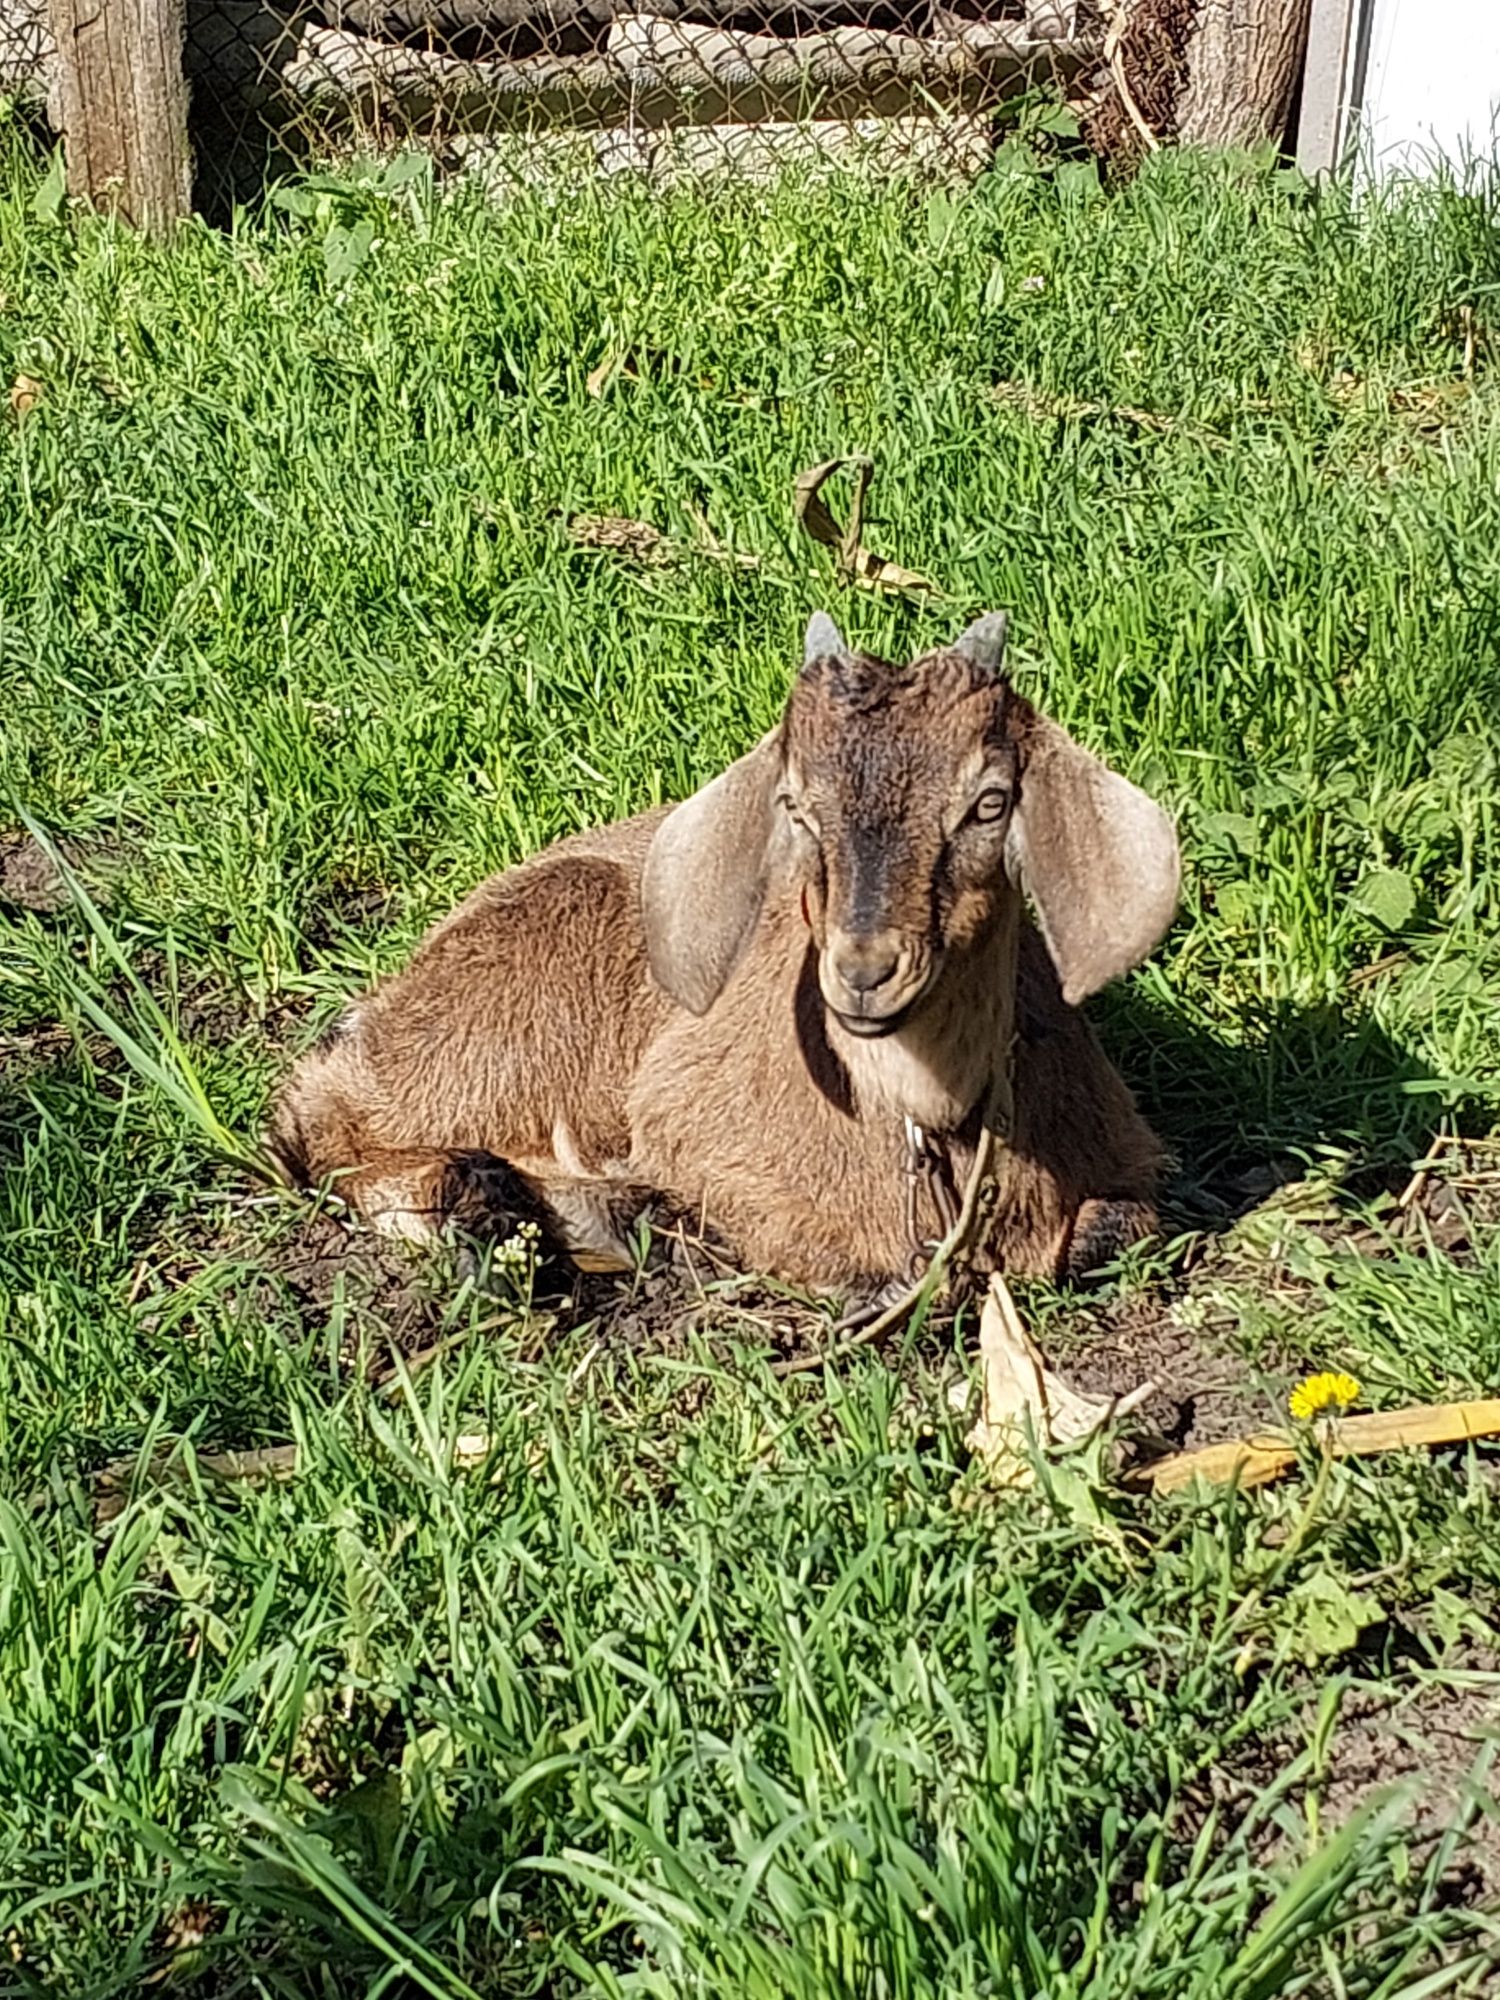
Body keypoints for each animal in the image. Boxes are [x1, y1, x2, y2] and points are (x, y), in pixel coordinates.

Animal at [274, 608, 1184, 1296]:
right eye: (797, 804)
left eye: (990, 802)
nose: (864, 973)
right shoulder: (690, 1122)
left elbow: (1117, 1226)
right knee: (322, 1112)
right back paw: (486, 1207)